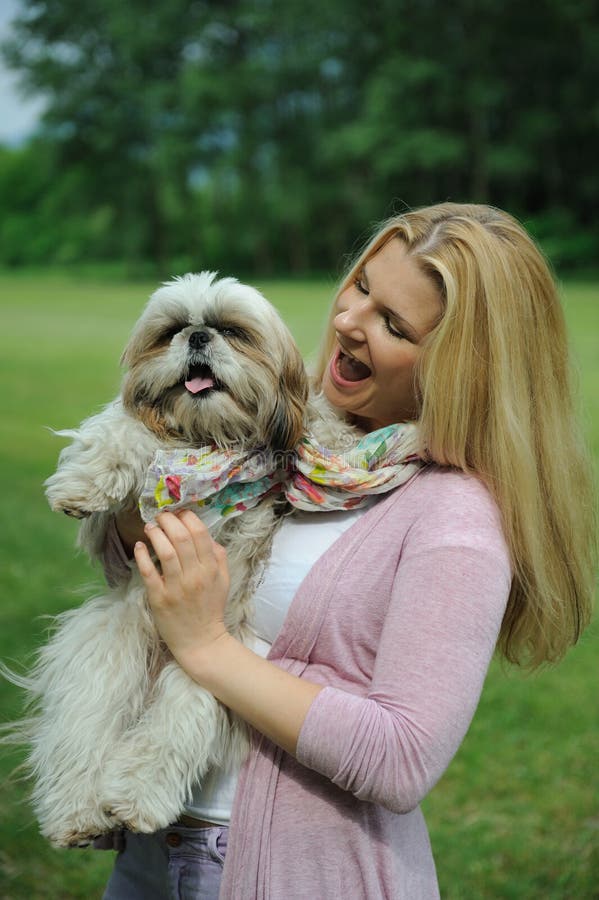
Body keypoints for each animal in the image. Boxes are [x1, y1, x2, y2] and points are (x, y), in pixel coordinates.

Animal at [8, 270, 356, 848]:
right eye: (171, 330)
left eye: (232, 331)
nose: (197, 336)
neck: (209, 440)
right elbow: (124, 427)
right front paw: (84, 482)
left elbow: (314, 426)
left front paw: (335, 437)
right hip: (106, 653)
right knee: (82, 733)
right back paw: (77, 814)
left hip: (217, 665)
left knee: (174, 726)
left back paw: (136, 799)